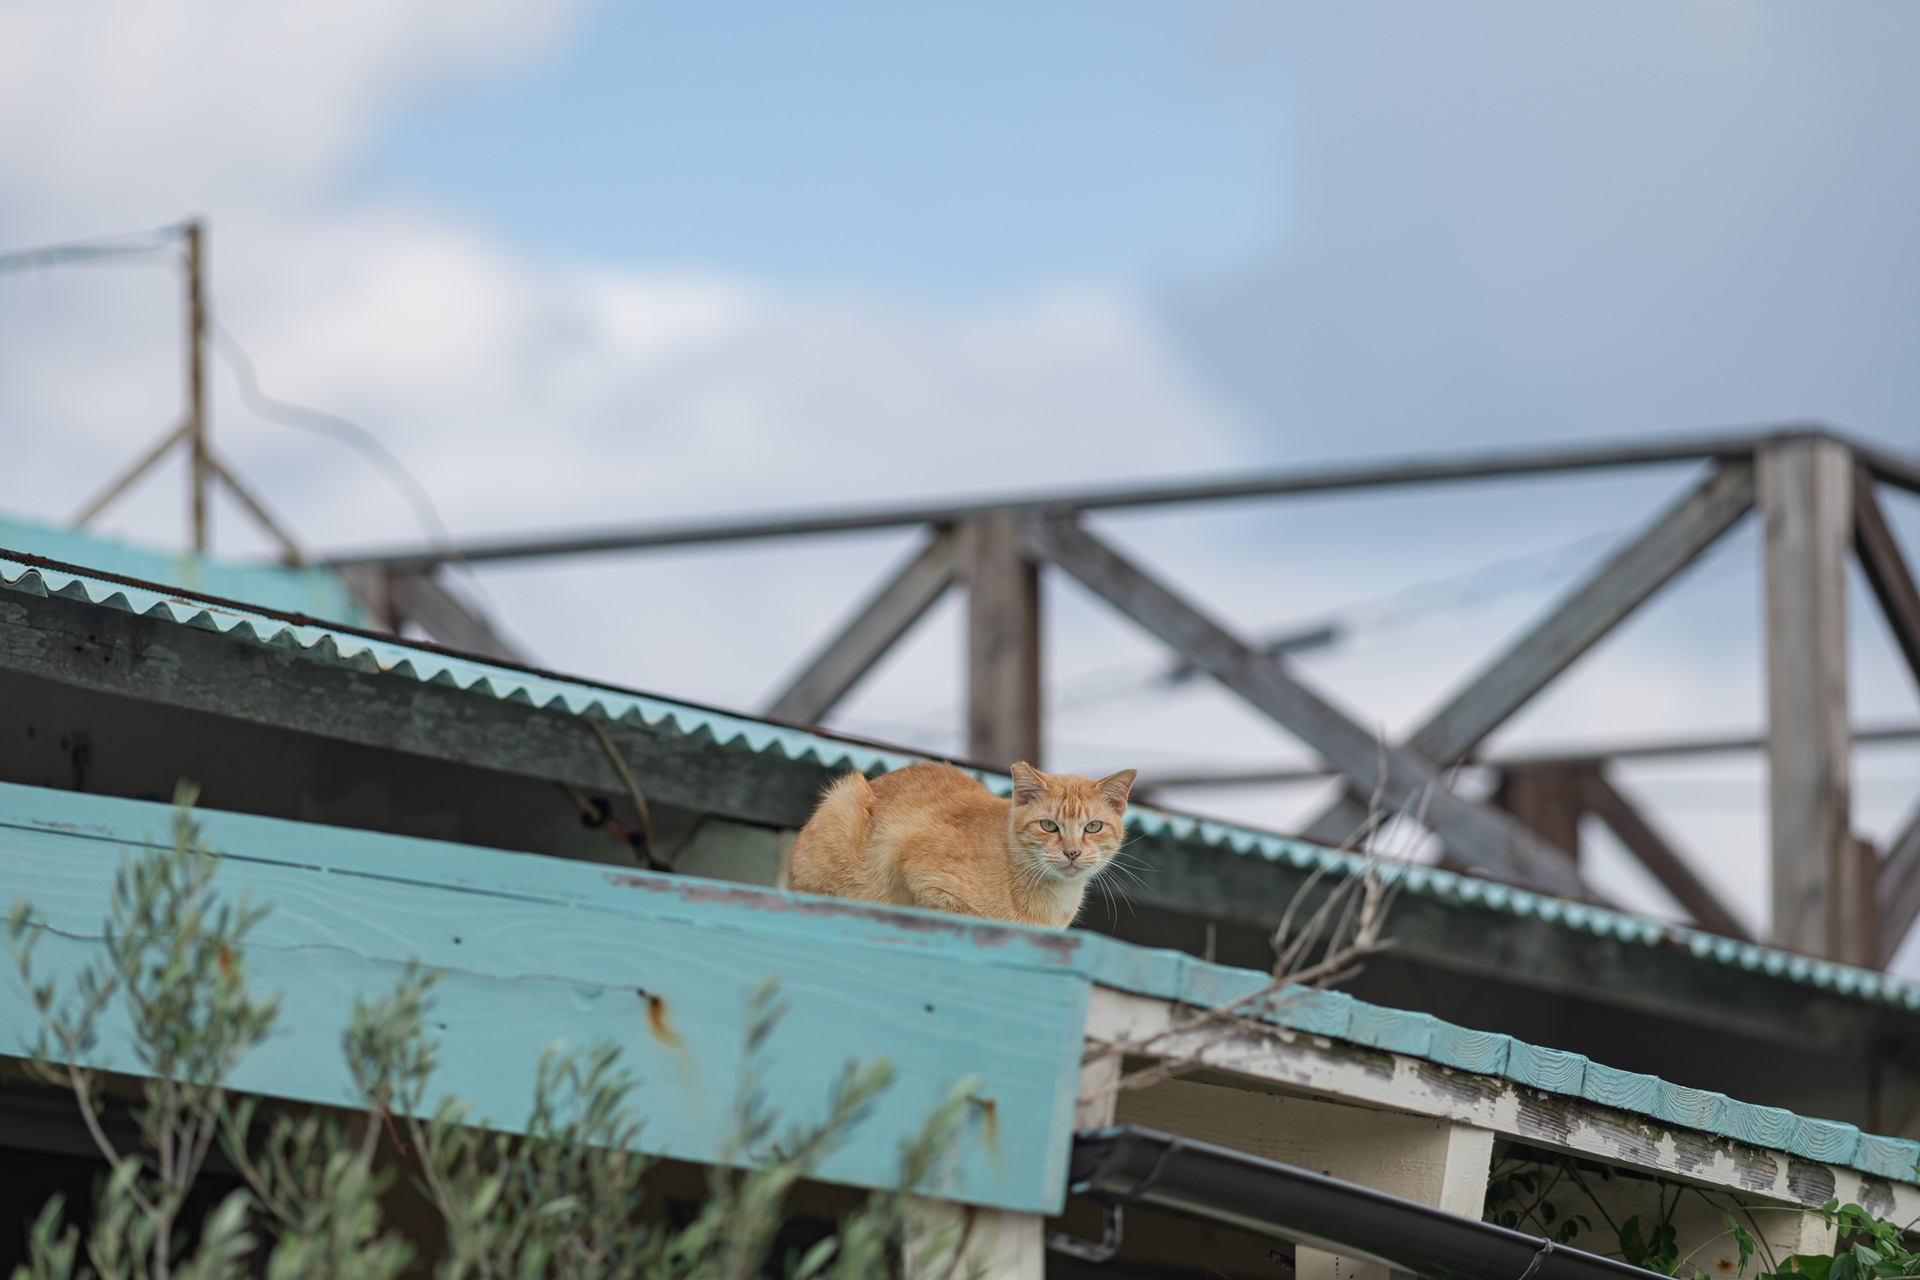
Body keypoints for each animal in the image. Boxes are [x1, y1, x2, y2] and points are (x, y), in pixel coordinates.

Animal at [785, 760, 1137, 928]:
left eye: (1093, 827)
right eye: (1049, 825)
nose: (1072, 852)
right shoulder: (913, 864)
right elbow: (965, 916)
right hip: (841, 807)